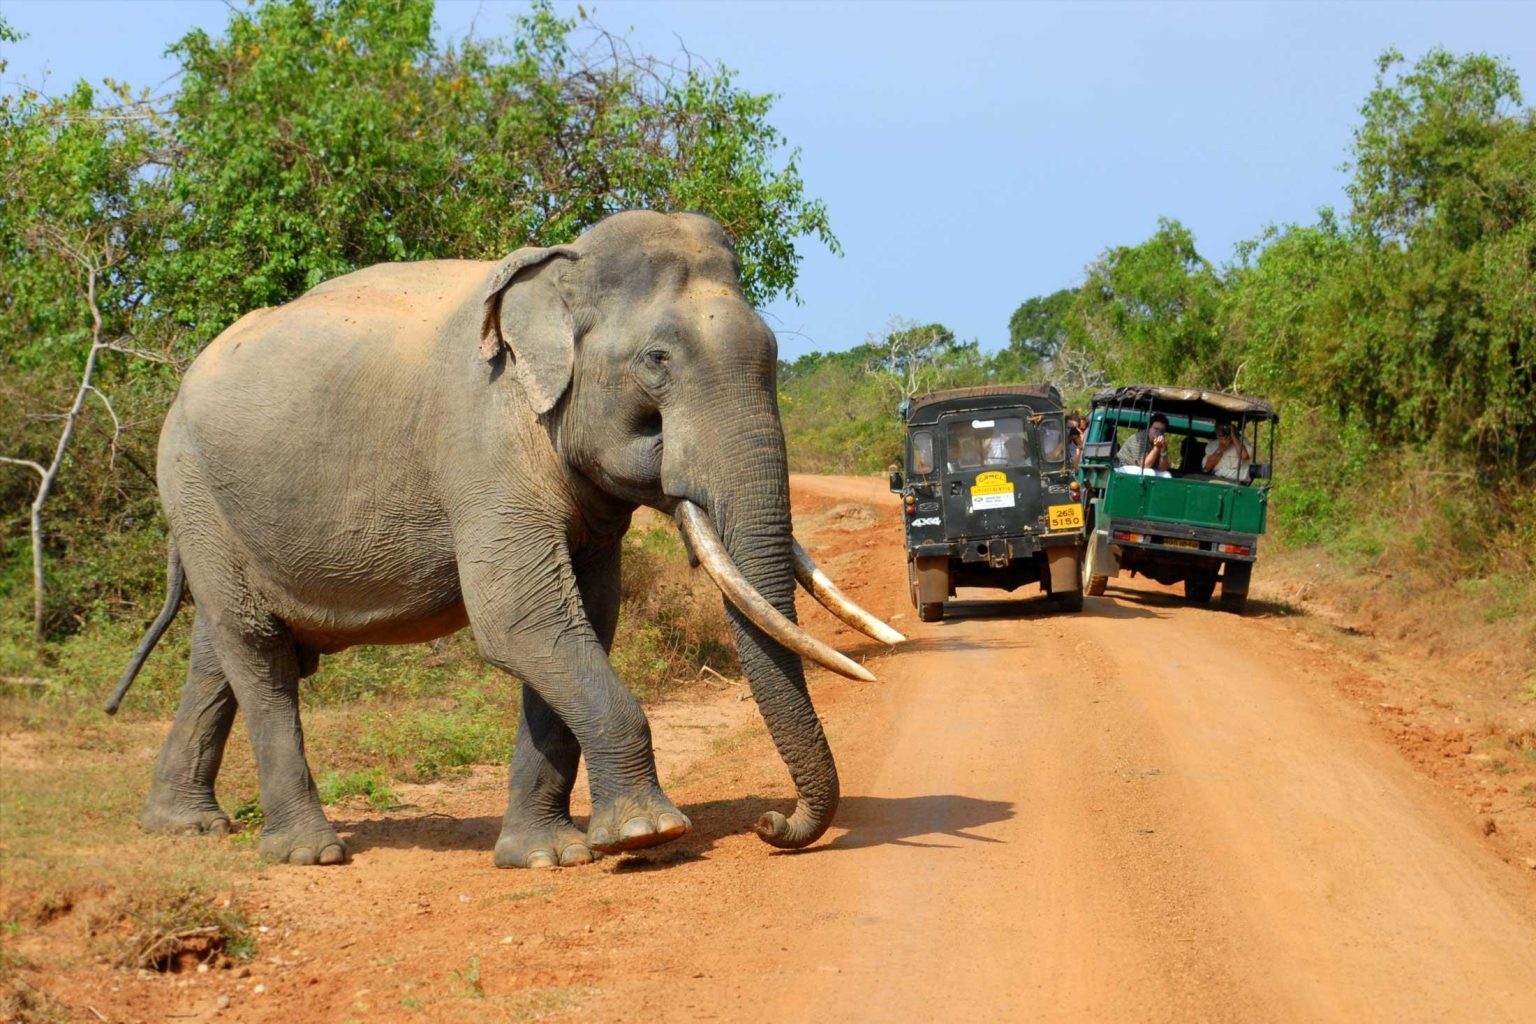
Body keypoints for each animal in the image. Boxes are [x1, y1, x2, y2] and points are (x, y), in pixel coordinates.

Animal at [108, 211, 897, 872]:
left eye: (773, 354)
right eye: (657, 361)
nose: (772, 823)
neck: (560, 272)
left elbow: (584, 619)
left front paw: (547, 857)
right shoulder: (482, 441)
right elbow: (521, 619)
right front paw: (648, 836)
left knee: (220, 647)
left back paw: (183, 825)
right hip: (191, 483)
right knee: (257, 648)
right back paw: (310, 854)